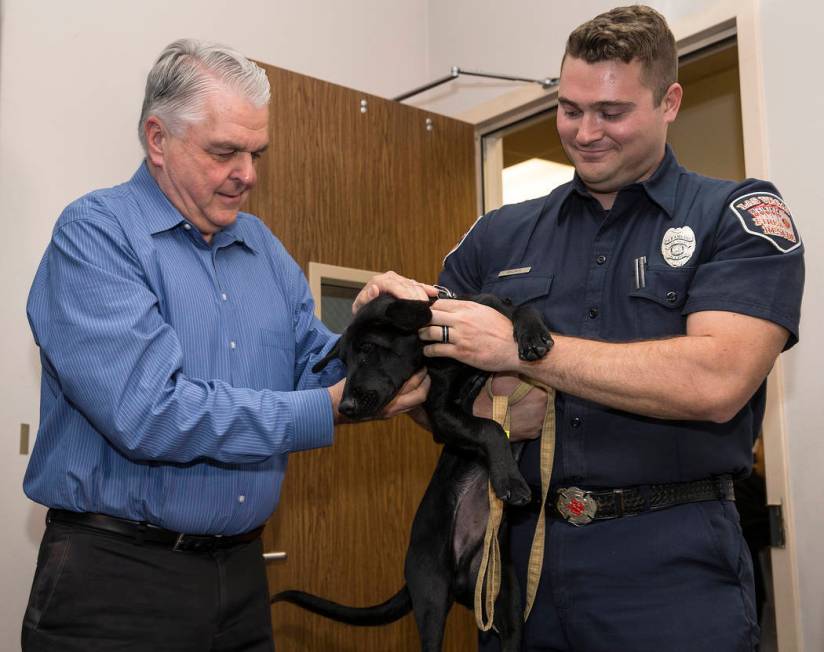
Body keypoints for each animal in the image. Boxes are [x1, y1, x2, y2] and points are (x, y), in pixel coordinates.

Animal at [274, 294, 552, 652]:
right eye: (344, 363)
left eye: (368, 348)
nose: (345, 407)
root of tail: (464, 571)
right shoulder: (442, 414)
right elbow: (489, 428)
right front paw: (509, 480)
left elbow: (519, 307)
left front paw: (533, 335)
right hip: (431, 592)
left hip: (506, 601)